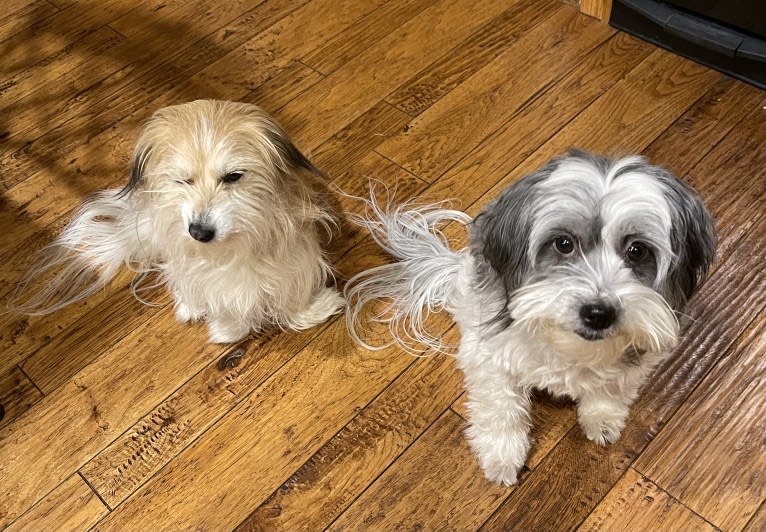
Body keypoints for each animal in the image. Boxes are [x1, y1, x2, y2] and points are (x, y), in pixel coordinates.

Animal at [14, 98, 344, 340]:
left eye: (233, 176)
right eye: (183, 180)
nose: (199, 232)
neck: (234, 243)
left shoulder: (297, 256)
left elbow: (292, 290)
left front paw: (311, 311)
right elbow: (224, 297)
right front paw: (227, 329)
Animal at [348, 150, 720, 486]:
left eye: (637, 251)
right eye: (564, 243)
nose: (598, 313)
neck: (569, 346)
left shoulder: (640, 351)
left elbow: (612, 387)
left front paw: (602, 417)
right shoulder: (488, 356)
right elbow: (501, 406)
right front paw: (502, 454)